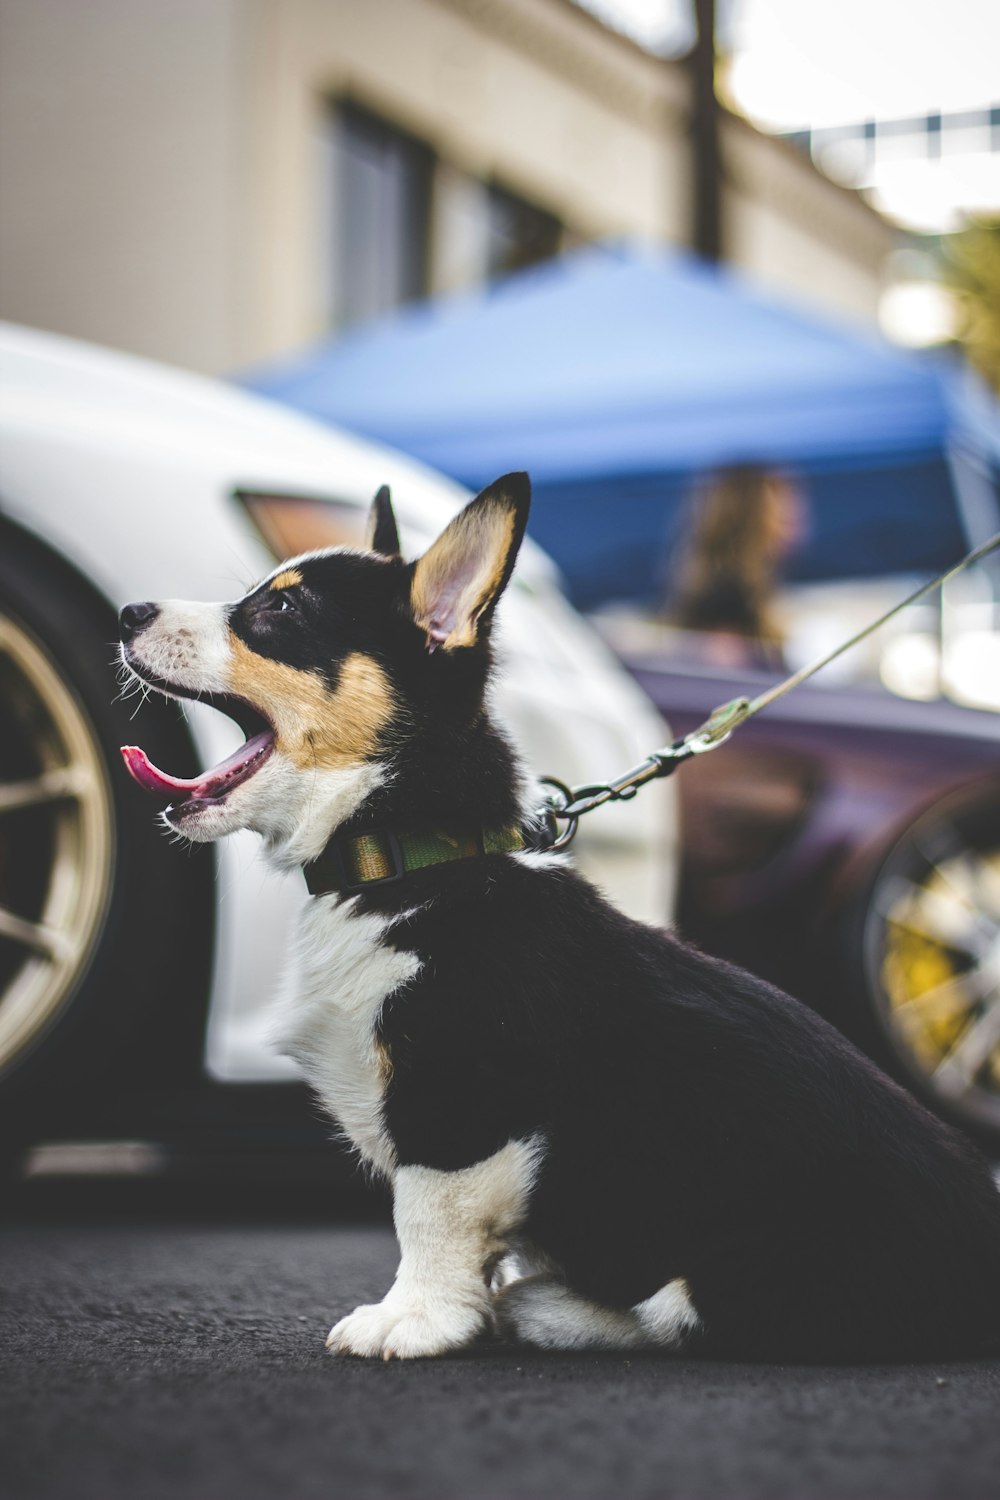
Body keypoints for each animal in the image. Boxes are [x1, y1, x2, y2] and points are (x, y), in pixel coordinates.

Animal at [119, 477, 1000, 1362]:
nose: (126, 611)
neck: (413, 858)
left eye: (281, 611)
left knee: (685, 1311)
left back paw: (551, 1309)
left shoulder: (457, 1102)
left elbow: (427, 1217)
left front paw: (414, 1319)